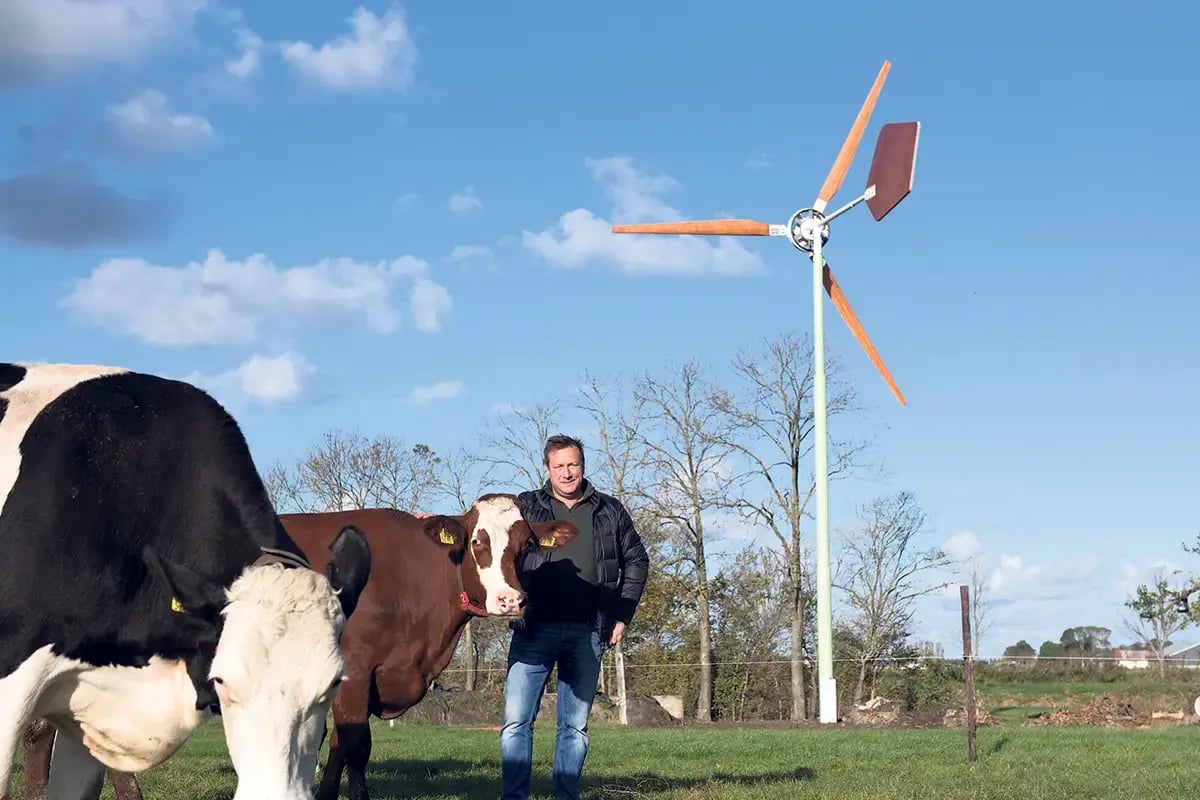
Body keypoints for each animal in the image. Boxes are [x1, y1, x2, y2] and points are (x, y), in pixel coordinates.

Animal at [22, 491, 576, 800]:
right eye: (478, 542)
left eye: (526, 545)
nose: (510, 600)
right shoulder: (357, 666)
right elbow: (355, 746)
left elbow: (333, 748)